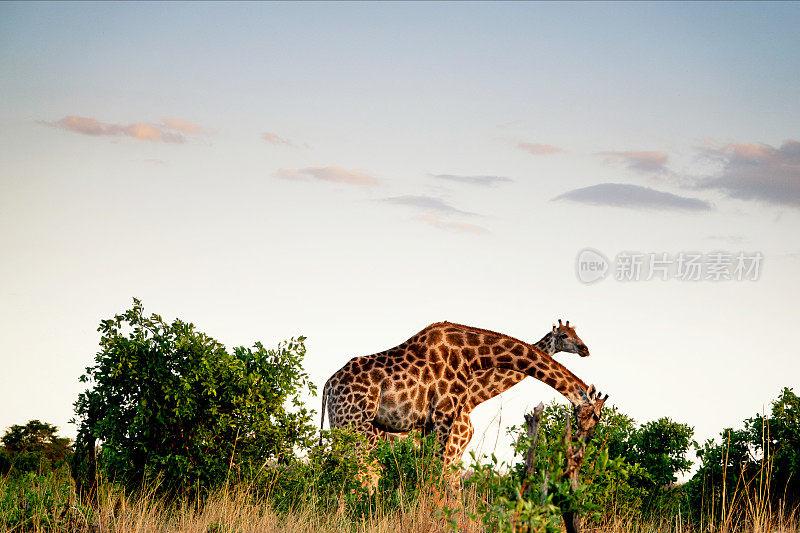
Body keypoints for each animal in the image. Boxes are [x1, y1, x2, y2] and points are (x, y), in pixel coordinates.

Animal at [318, 320, 608, 482]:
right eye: (565, 335)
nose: (585, 349)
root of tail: (329, 384)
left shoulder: (433, 428)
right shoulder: (446, 420)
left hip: (341, 429)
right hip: (359, 431)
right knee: (362, 476)